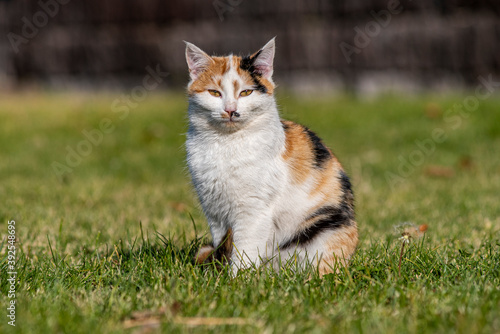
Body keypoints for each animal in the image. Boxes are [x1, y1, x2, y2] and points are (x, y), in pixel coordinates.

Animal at [186, 37, 358, 276]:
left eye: (245, 93)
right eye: (214, 93)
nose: (230, 110)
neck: (225, 143)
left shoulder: (253, 209)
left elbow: (244, 248)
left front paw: (237, 279)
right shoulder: (214, 210)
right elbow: (223, 243)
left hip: (328, 227)